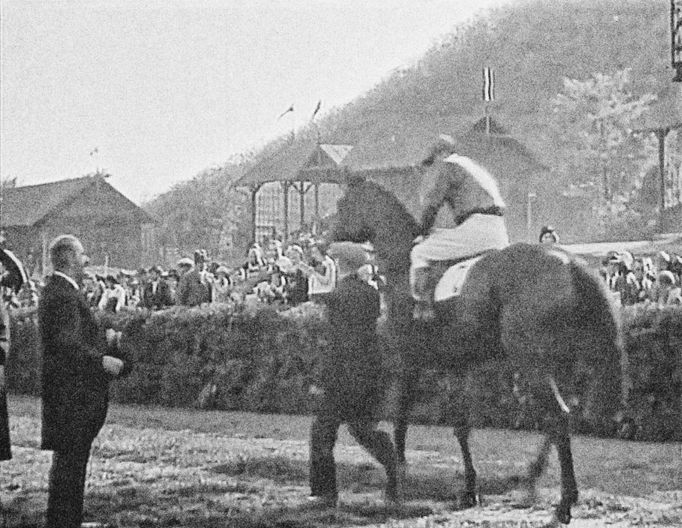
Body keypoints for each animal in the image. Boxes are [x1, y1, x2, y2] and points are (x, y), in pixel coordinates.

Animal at [330, 177, 620, 524]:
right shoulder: (458, 366)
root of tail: (570, 262)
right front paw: (469, 489)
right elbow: (461, 426)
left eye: (342, 203)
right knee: (565, 413)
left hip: (532, 363)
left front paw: (395, 483)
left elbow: (400, 418)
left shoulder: (407, 361)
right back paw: (533, 478)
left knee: (559, 416)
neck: (403, 265)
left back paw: (563, 502)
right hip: (559, 362)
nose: (324, 232)